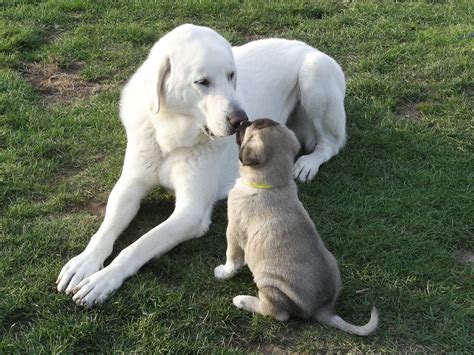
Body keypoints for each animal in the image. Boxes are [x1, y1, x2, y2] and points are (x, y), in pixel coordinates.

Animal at [55, 23, 346, 308]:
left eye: (231, 75)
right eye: (202, 82)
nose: (242, 120)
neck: (171, 133)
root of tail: (306, 46)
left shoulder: (191, 212)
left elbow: (139, 245)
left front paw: (103, 279)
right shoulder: (129, 186)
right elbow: (106, 229)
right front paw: (85, 262)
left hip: (314, 72)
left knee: (332, 143)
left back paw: (307, 164)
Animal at [215, 119, 378, 336]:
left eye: (248, 128)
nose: (242, 121)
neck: (275, 184)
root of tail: (323, 308)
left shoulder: (233, 231)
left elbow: (231, 259)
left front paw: (223, 273)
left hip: (269, 282)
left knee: (278, 313)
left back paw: (243, 300)